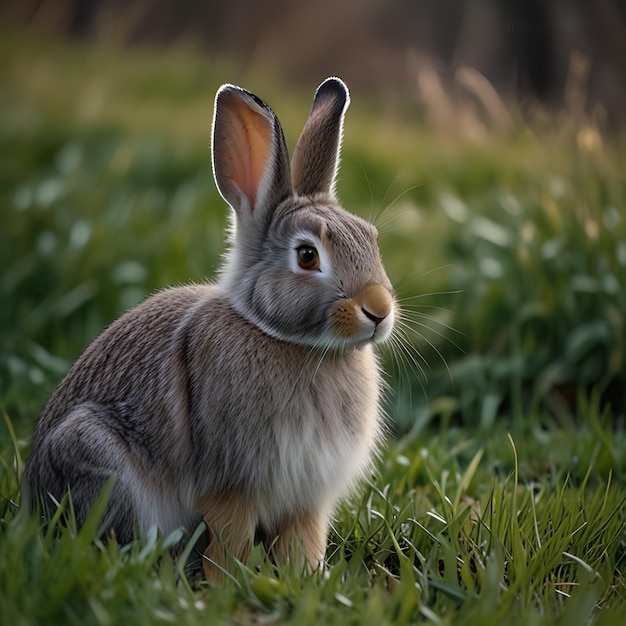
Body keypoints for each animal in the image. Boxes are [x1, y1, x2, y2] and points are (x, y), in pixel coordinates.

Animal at [25, 78, 394, 580]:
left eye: (372, 239)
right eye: (307, 256)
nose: (379, 310)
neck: (289, 340)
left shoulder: (306, 499)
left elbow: (301, 542)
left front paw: (306, 580)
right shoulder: (231, 486)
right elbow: (229, 541)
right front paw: (228, 584)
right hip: (95, 456)